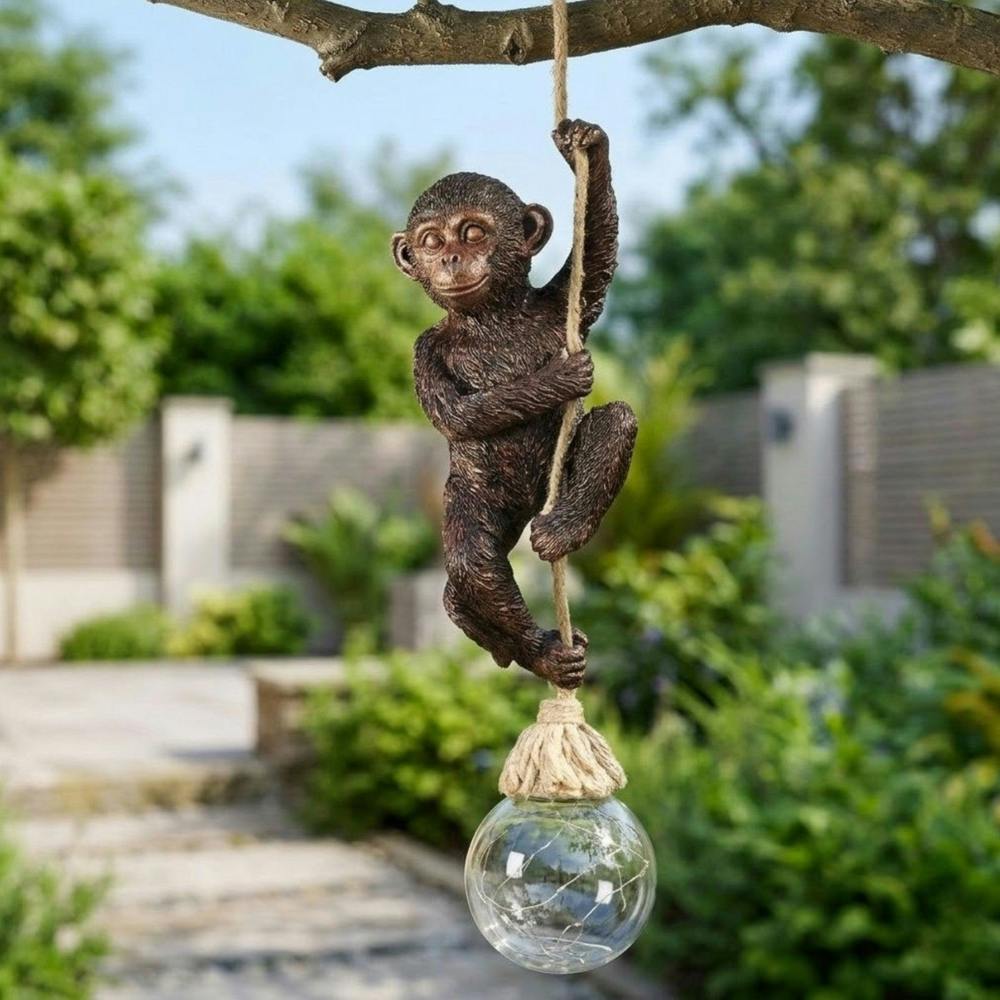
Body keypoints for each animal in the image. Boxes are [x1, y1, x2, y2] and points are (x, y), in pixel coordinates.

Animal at [391, 119, 636, 689]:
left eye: (473, 232)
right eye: (430, 241)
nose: (451, 257)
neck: (491, 318)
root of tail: (529, 512)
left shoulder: (558, 304)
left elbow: (595, 258)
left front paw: (585, 144)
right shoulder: (422, 349)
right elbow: (456, 414)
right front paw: (563, 376)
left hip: (552, 487)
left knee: (617, 419)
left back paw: (562, 531)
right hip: (475, 499)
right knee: (470, 570)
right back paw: (539, 652)